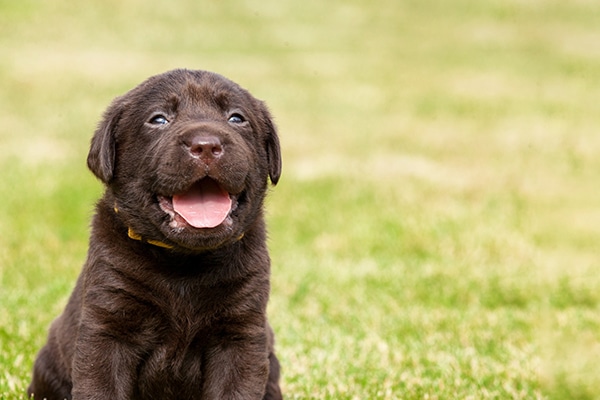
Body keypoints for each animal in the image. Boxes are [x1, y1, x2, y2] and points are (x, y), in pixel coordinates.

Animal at [27, 69, 282, 400]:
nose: (206, 145)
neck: (185, 263)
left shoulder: (240, 334)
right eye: (159, 119)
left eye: (237, 118)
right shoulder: (108, 327)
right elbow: (101, 387)